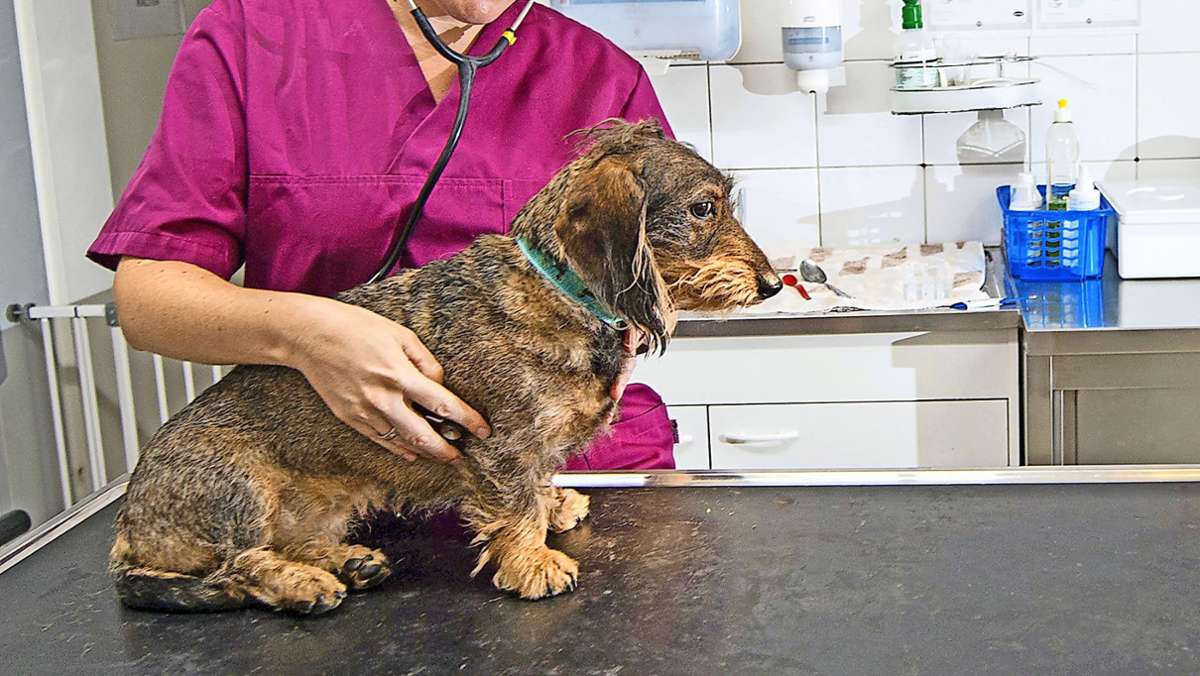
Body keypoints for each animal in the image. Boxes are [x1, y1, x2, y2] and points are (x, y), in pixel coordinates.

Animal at [110, 120, 787, 614]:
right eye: (703, 209)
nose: (775, 284)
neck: (558, 289)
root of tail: (130, 523)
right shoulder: (501, 443)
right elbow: (514, 502)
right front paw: (531, 561)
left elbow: (537, 485)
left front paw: (552, 506)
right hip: (237, 488)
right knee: (241, 564)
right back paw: (303, 584)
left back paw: (344, 560)